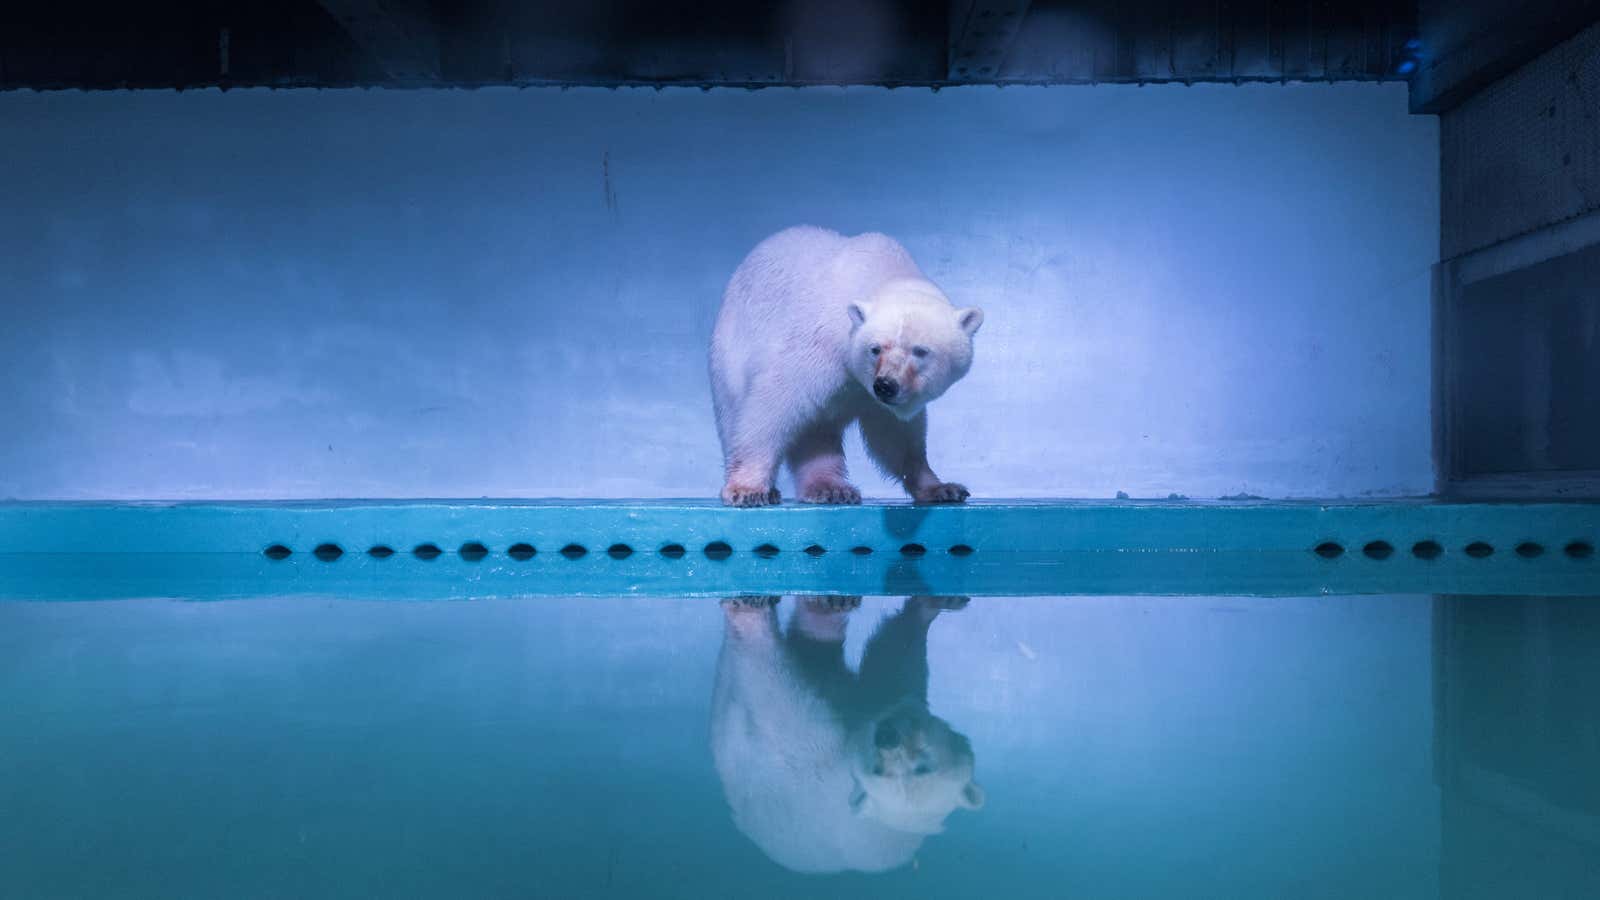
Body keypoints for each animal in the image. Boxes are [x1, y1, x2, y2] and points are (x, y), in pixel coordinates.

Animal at [710, 224, 979, 506]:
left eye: (920, 351)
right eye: (875, 348)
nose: (885, 385)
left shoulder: (875, 398)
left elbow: (896, 434)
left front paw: (941, 488)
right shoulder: (818, 346)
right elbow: (773, 405)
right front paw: (747, 489)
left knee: (817, 432)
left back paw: (829, 487)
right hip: (729, 350)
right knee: (734, 412)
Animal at [710, 592, 979, 871]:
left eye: (922, 766)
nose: (887, 736)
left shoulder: (819, 749)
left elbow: (773, 684)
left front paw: (749, 612)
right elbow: (892, 665)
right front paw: (931, 605)